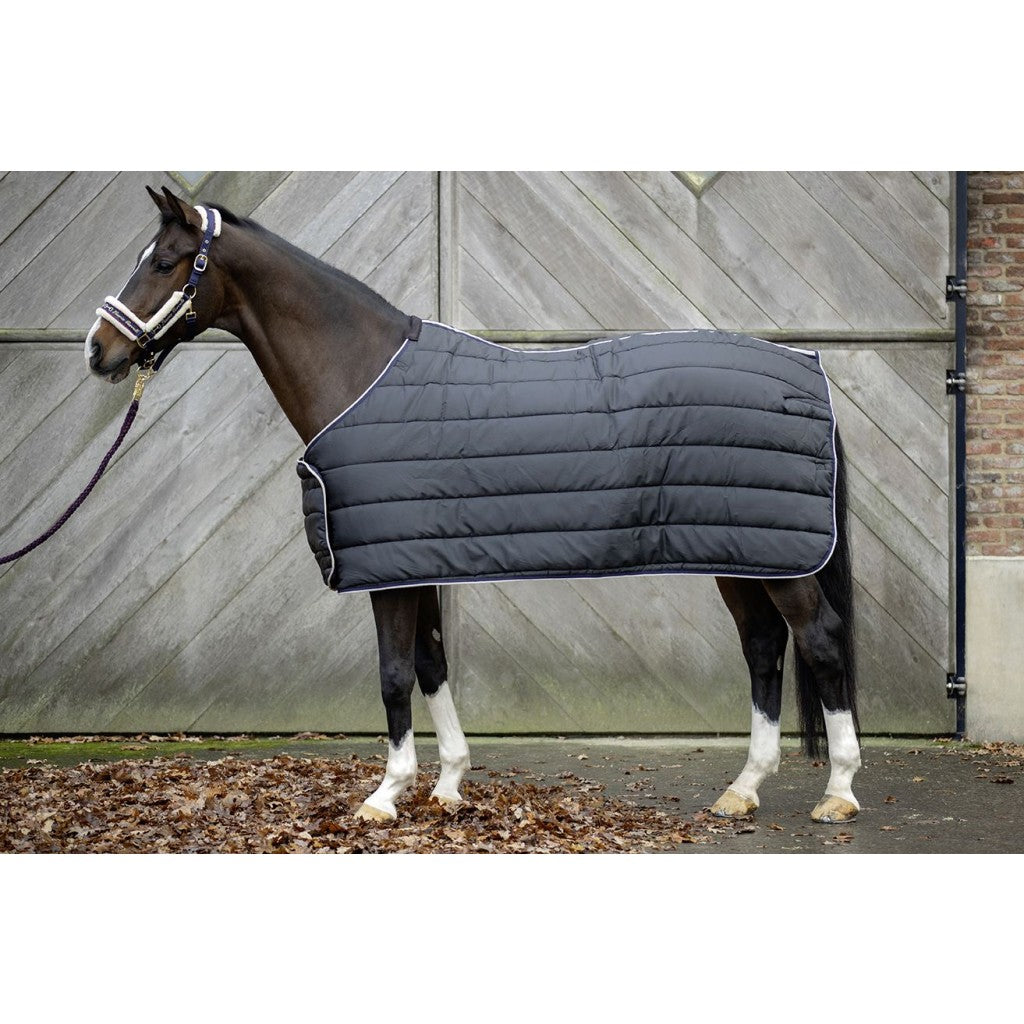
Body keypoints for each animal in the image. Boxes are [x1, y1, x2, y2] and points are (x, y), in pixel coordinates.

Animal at [84, 186, 861, 825]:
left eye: (164, 262)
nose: (98, 350)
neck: (361, 372)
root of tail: (807, 369)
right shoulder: (413, 562)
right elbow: (432, 663)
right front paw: (449, 784)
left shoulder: (387, 573)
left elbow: (395, 673)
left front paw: (384, 796)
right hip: (741, 549)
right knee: (763, 648)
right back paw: (743, 789)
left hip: (779, 557)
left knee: (820, 639)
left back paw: (839, 791)